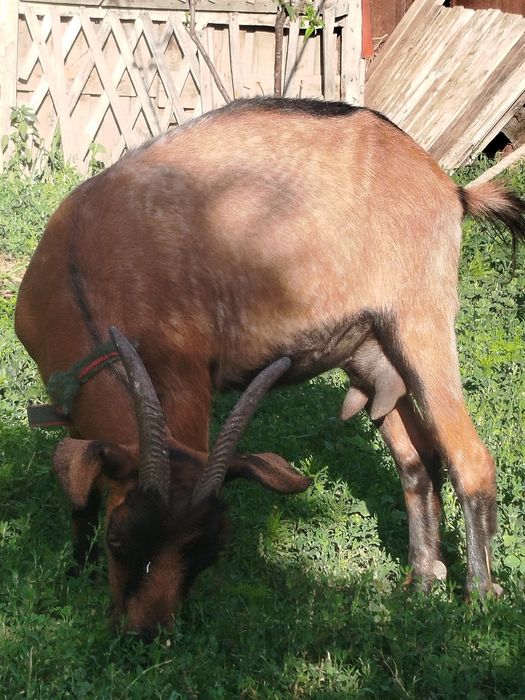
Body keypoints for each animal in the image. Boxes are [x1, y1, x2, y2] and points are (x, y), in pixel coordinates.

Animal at [15, 97, 525, 637]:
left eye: (210, 553)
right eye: (118, 538)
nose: (146, 635)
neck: (82, 263)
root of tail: (448, 186)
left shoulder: (187, 376)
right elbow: (81, 489)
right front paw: (75, 567)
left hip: (420, 321)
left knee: (469, 458)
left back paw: (478, 600)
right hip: (376, 355)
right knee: (418, 462)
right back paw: (424, 582)